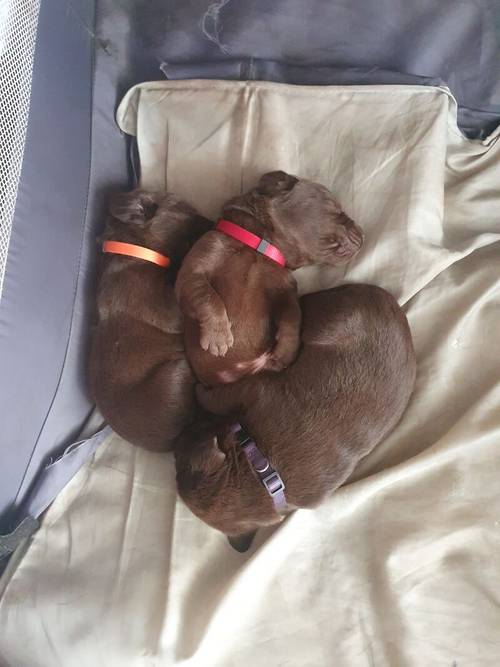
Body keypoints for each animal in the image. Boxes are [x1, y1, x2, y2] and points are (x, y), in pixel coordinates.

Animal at [174, 284, 416, 552]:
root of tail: (390, 302)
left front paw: (199, 392)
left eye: (178, 456)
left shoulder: (253, 390)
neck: (260, 472)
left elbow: (218, 397)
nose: (176, 438)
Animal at [176, 171, 364, 386]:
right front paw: (219, 337)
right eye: (335, 206)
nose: (363, 233)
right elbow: (208, 297)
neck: (261, 246)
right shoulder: (193, 270)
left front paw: (287, 351)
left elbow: (293, 315)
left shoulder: (286, 290)